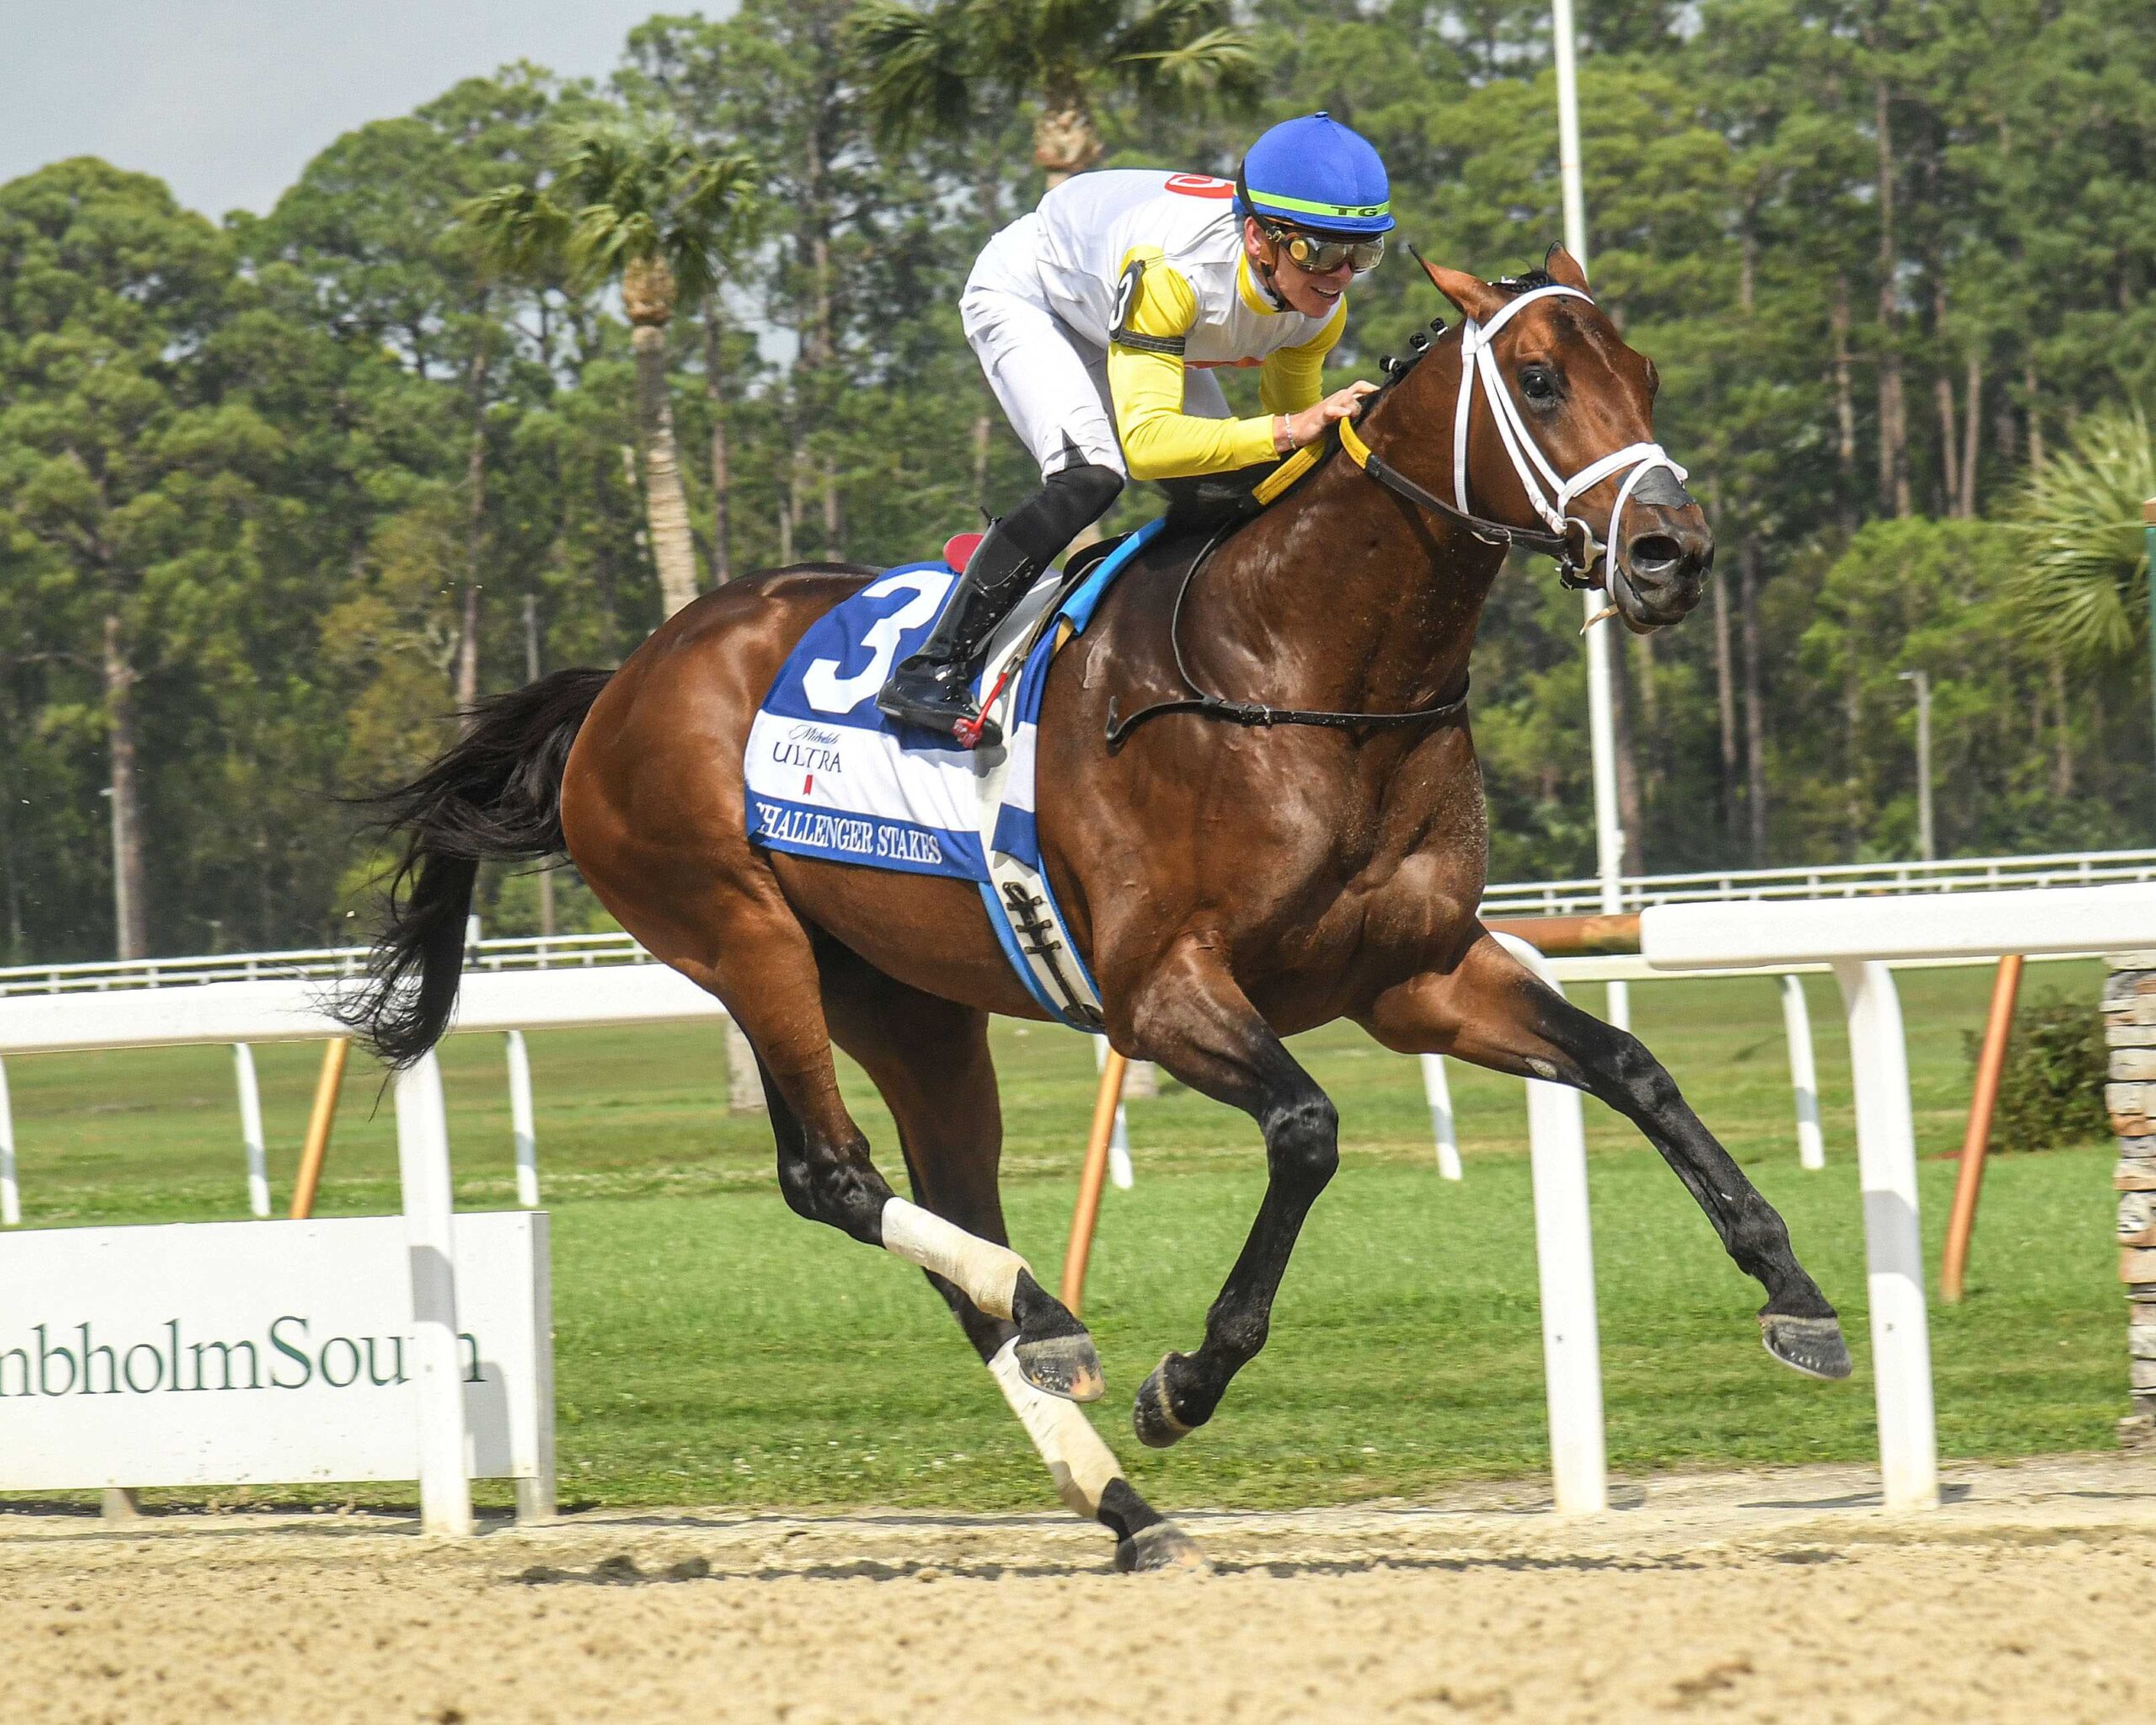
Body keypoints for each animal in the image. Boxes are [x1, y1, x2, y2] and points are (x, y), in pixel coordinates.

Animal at [337, 247, 1849, 1573]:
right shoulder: (1161, 991)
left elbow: (1632, 1067)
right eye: (1536, 380)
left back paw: (1118, 1494)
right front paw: (1188, 1378)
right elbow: (1307, 1131)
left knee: (945, 1217)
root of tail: (626, 680)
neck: (1301, 669)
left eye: (1642, 373)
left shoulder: (1417, 976)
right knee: (836, 1177)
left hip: (906, 997)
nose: (1669, 552)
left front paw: (1799, 1295)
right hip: (738, 930)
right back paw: (1050, 1315)